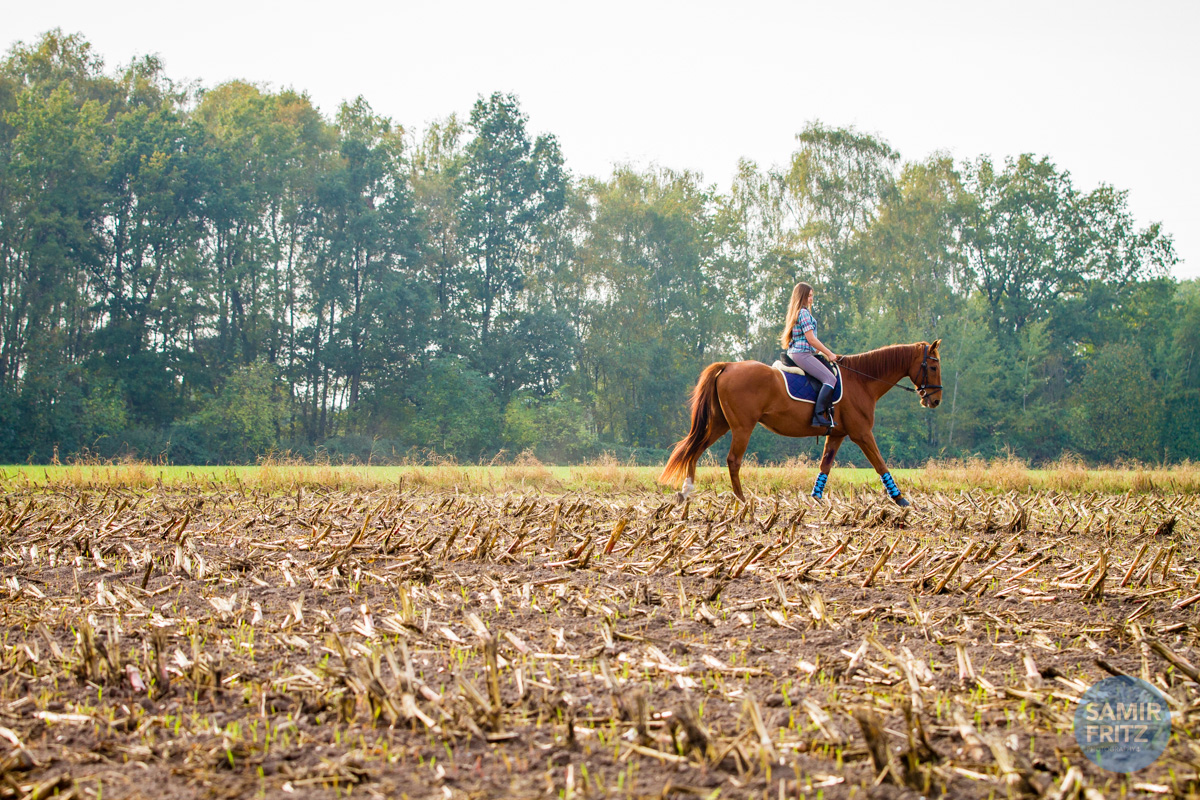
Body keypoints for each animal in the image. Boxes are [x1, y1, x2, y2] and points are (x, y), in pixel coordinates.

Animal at [662, 340, 940, 503]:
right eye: (934, 366)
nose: (935, 400)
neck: (861, 380)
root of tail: (729, 365)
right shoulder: (862, 433)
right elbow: (880, 463)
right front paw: (901, 499)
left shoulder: (836, 435)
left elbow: (825, 466)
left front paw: (815, 499)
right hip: (742, 427)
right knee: (732, 460)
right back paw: (742, 499)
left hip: (721, 424)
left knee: (694, 449)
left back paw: (686, 491)